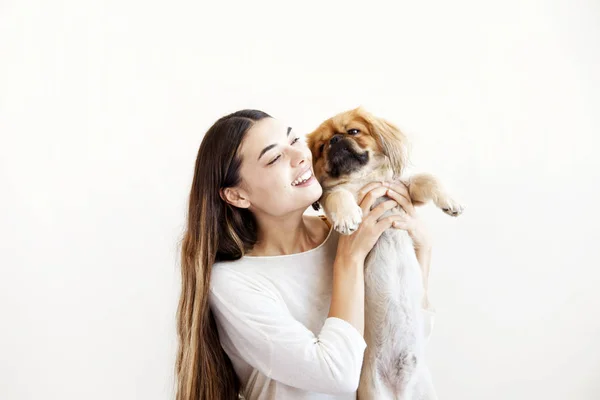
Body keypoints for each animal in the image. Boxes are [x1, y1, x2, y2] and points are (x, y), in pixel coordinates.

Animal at [308, 107, 462, 400]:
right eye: (321, 147)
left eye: (353, 131)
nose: (335, 140)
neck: (362, 179)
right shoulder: (337, 195)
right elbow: (337, 196)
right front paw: (348, 217)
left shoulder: (405, 190)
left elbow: (427, 178)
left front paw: (450, 200)